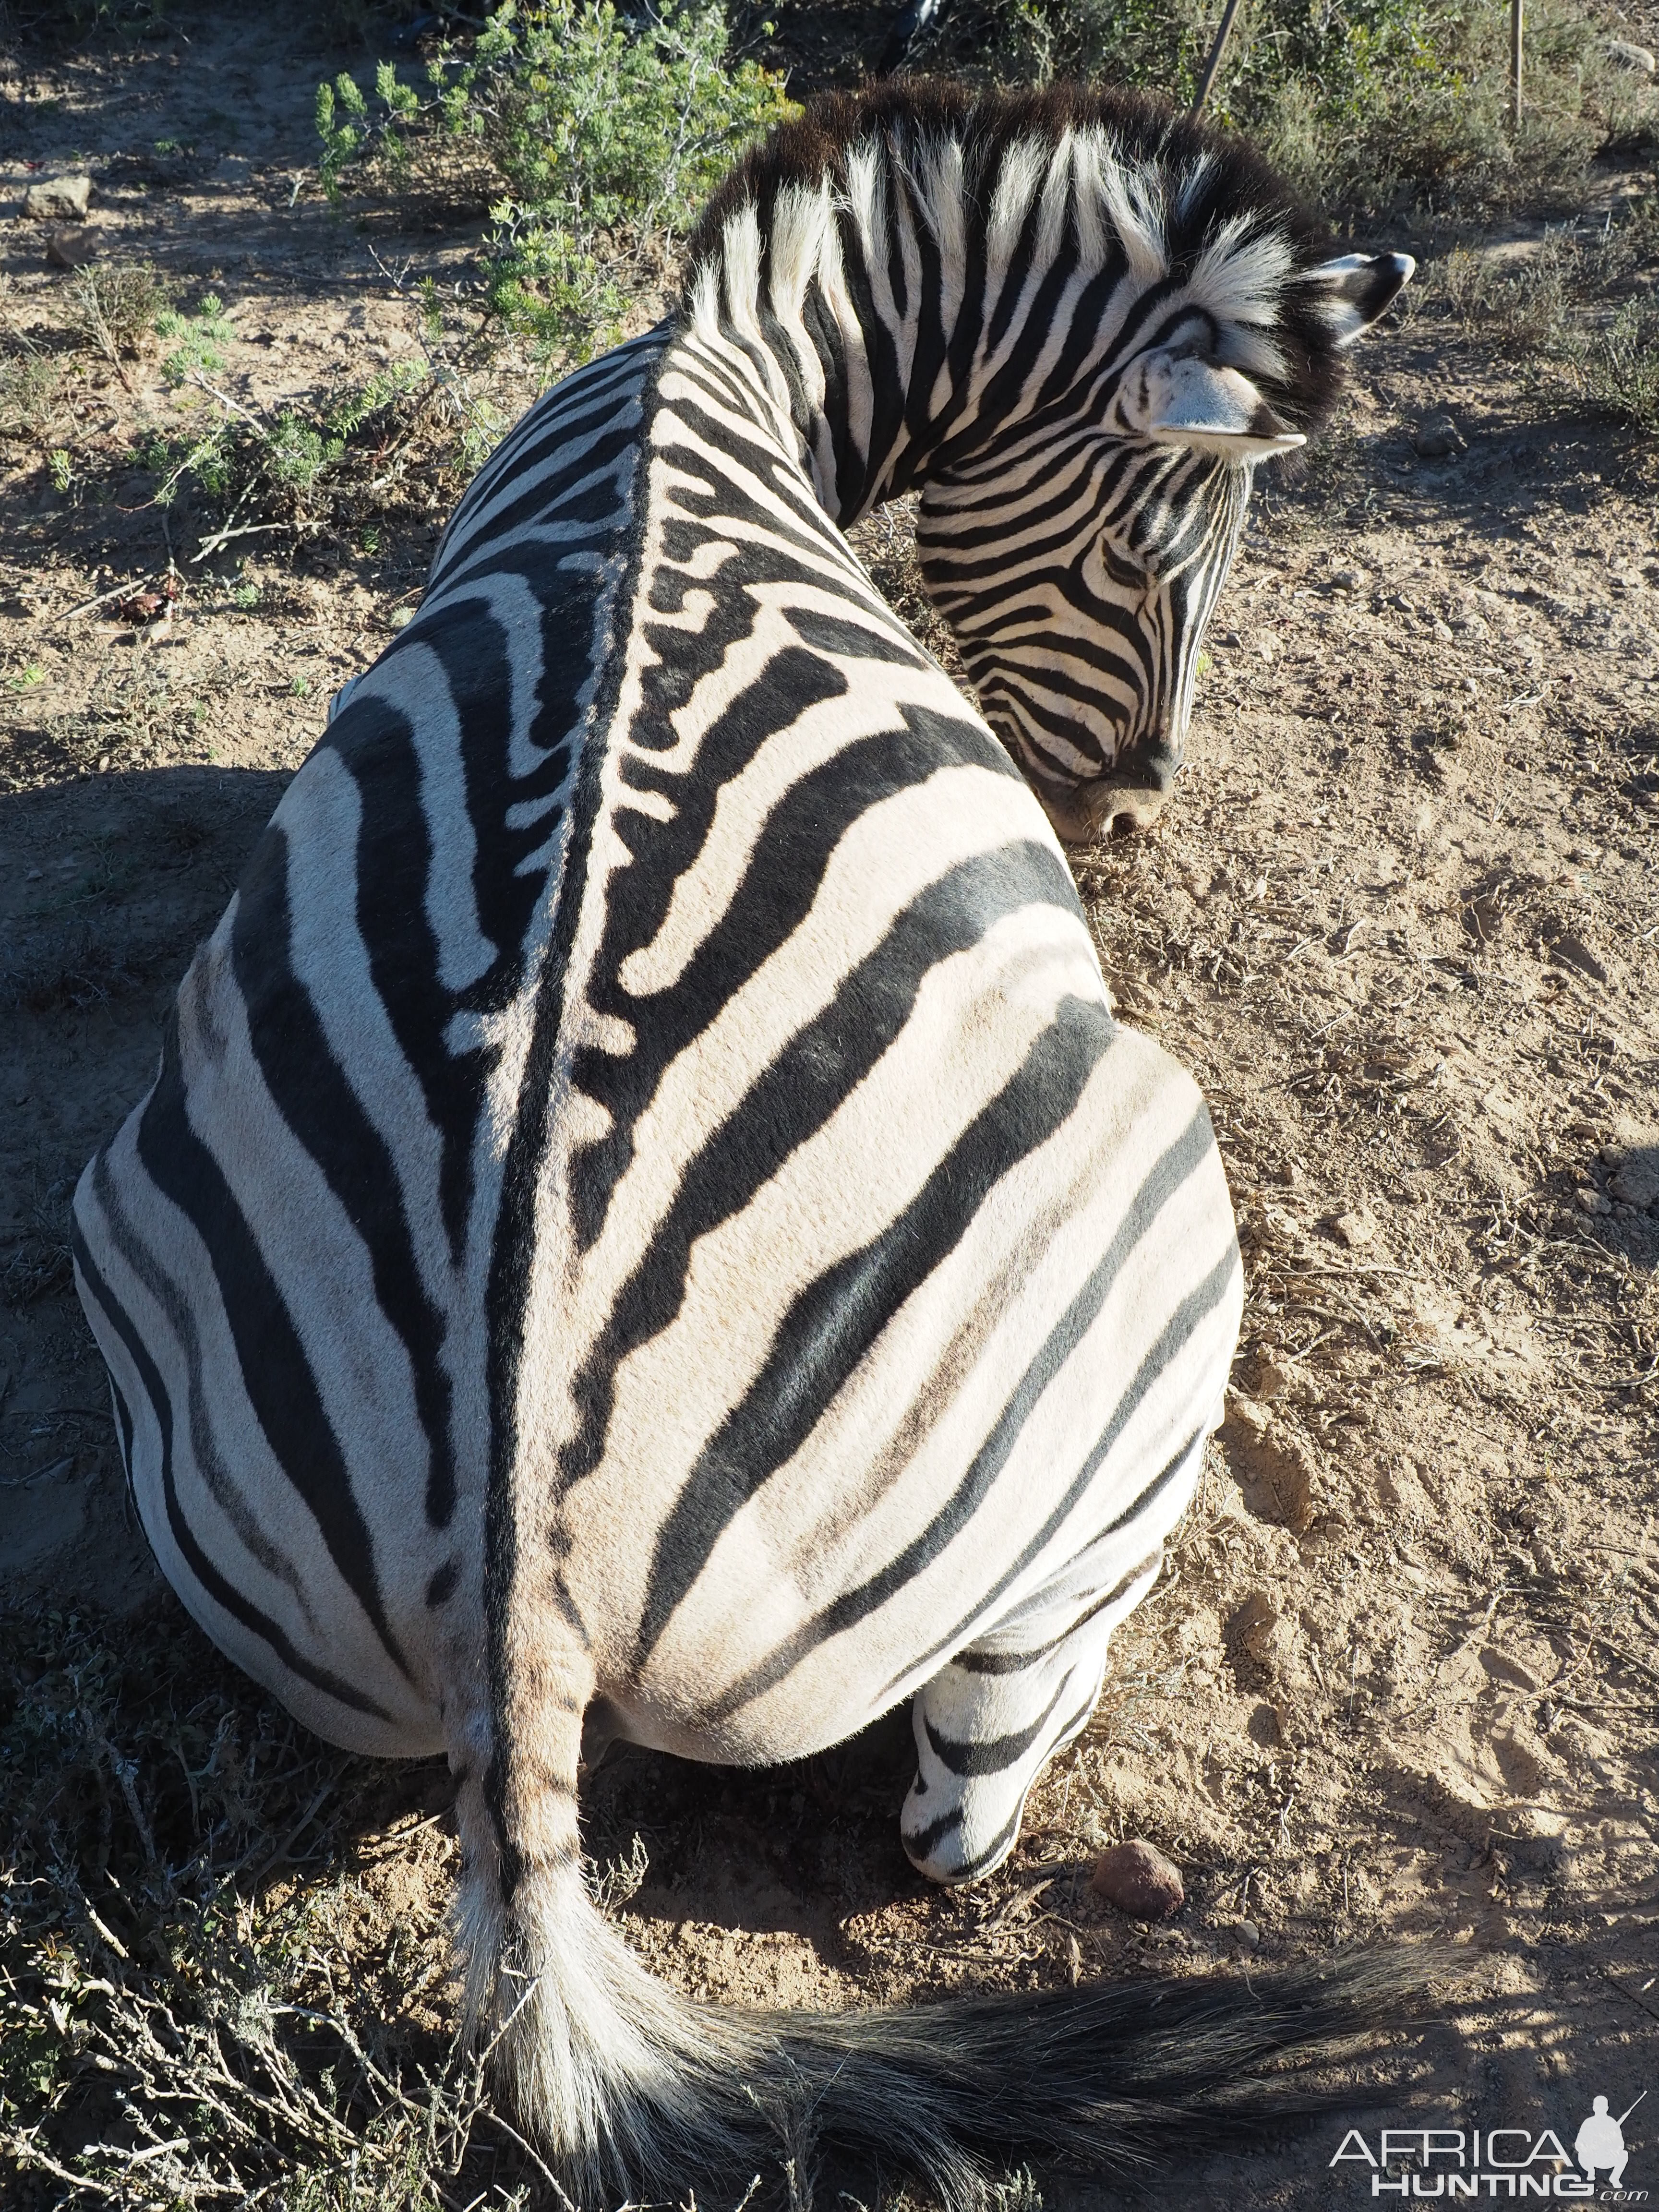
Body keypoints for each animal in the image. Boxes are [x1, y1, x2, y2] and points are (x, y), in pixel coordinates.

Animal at [74, 78, 1416, 2203]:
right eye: (1155, 551)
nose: (1127, 820)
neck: (723, 362)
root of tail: (523, 1594)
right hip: (1156, 1236)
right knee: (963, 1810)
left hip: (143, 1231)